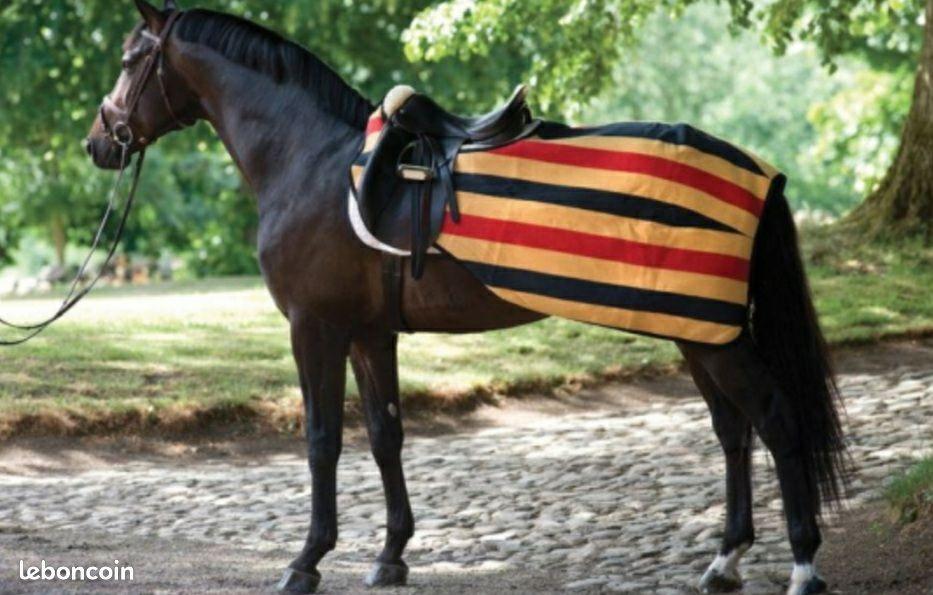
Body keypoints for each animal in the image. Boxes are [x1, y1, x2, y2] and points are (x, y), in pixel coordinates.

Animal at [85, 2, 848, 594]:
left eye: (128, 59)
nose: (100, 142)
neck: (313, 160)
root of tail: (758, 172)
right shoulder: (369, 333)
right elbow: (385, 434)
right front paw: (391, 554)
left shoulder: (315, 328)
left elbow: (322, 440)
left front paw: (306, 561)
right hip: (696, 331)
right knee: (732, 430)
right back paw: (724, 561)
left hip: (714, 336)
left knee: (776, 420)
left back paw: (804, 565)